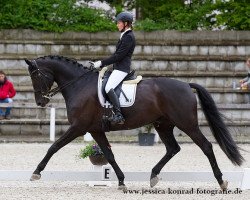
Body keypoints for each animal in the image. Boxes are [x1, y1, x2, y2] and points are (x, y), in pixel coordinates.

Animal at [24, 55, 244, 190]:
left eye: (36, 75)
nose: (40, 101)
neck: (79, 85)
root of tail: (186, 85)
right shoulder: (95, 130)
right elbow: (109, 155)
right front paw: (121, 181)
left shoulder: (79, 127)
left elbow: (54, 147)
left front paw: (36, 173)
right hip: (163, 125)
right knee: (173, 148)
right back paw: (153, 176)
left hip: (187, 124)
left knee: (206, 146)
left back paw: (221, 181)